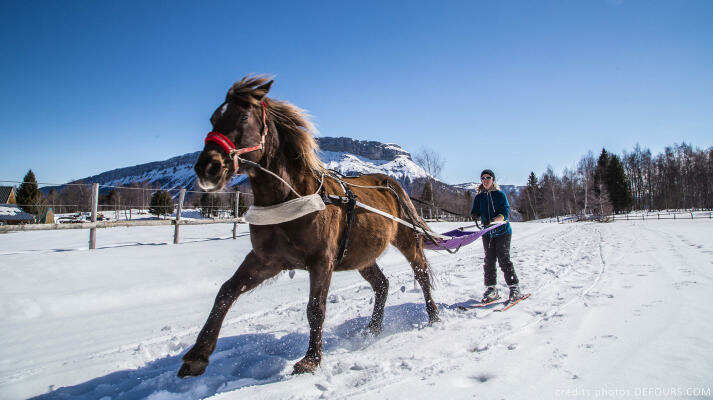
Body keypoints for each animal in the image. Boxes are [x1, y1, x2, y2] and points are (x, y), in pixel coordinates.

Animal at [177, 75, 440, 378]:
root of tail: (390, 183)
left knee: (421, 274)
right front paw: (198, 355)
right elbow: (226, 292)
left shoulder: (321, 261)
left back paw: (433, 316)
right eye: (213, 118)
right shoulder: (266, 260)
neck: (294, 196)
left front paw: (311, 359)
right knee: (382, 285)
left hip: (407, 240)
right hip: (360, 255)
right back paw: (372, 328)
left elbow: (316, 308)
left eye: (242, 116)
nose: (208, 167)